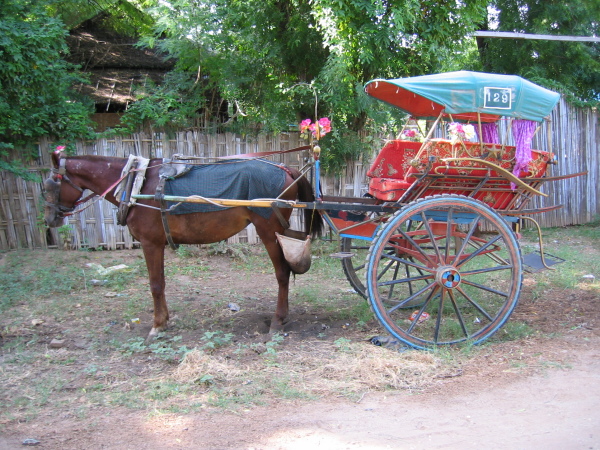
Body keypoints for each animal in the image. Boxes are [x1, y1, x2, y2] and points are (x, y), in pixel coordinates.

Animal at [43, 149, 324, 340]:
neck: (137, 184)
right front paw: (164, 320)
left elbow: (155, 285)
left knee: (282, 273)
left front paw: (157, 325)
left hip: (269, 231)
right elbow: (161, 283)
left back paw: (278, 319)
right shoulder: (156, 244)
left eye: (50, 184)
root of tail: (286, 169)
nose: (49, 219)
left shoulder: (150, 243)